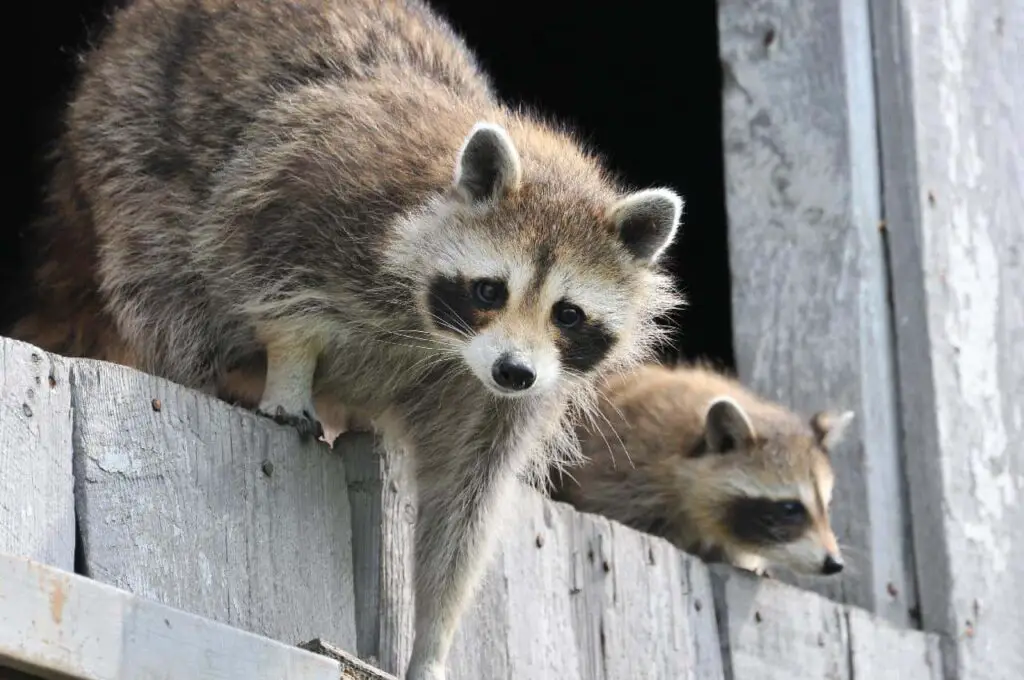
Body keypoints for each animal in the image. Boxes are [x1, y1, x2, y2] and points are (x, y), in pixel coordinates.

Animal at [14, 2, 679, 675]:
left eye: (567, 314)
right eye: (490, 290)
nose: (514, 371)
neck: (437, 336)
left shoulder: (500, 396)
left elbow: (464, 507)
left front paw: (433, 638)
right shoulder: (315, 192)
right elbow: (269, 277)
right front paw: (289, 369)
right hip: (128, 127)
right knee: (160, 271)